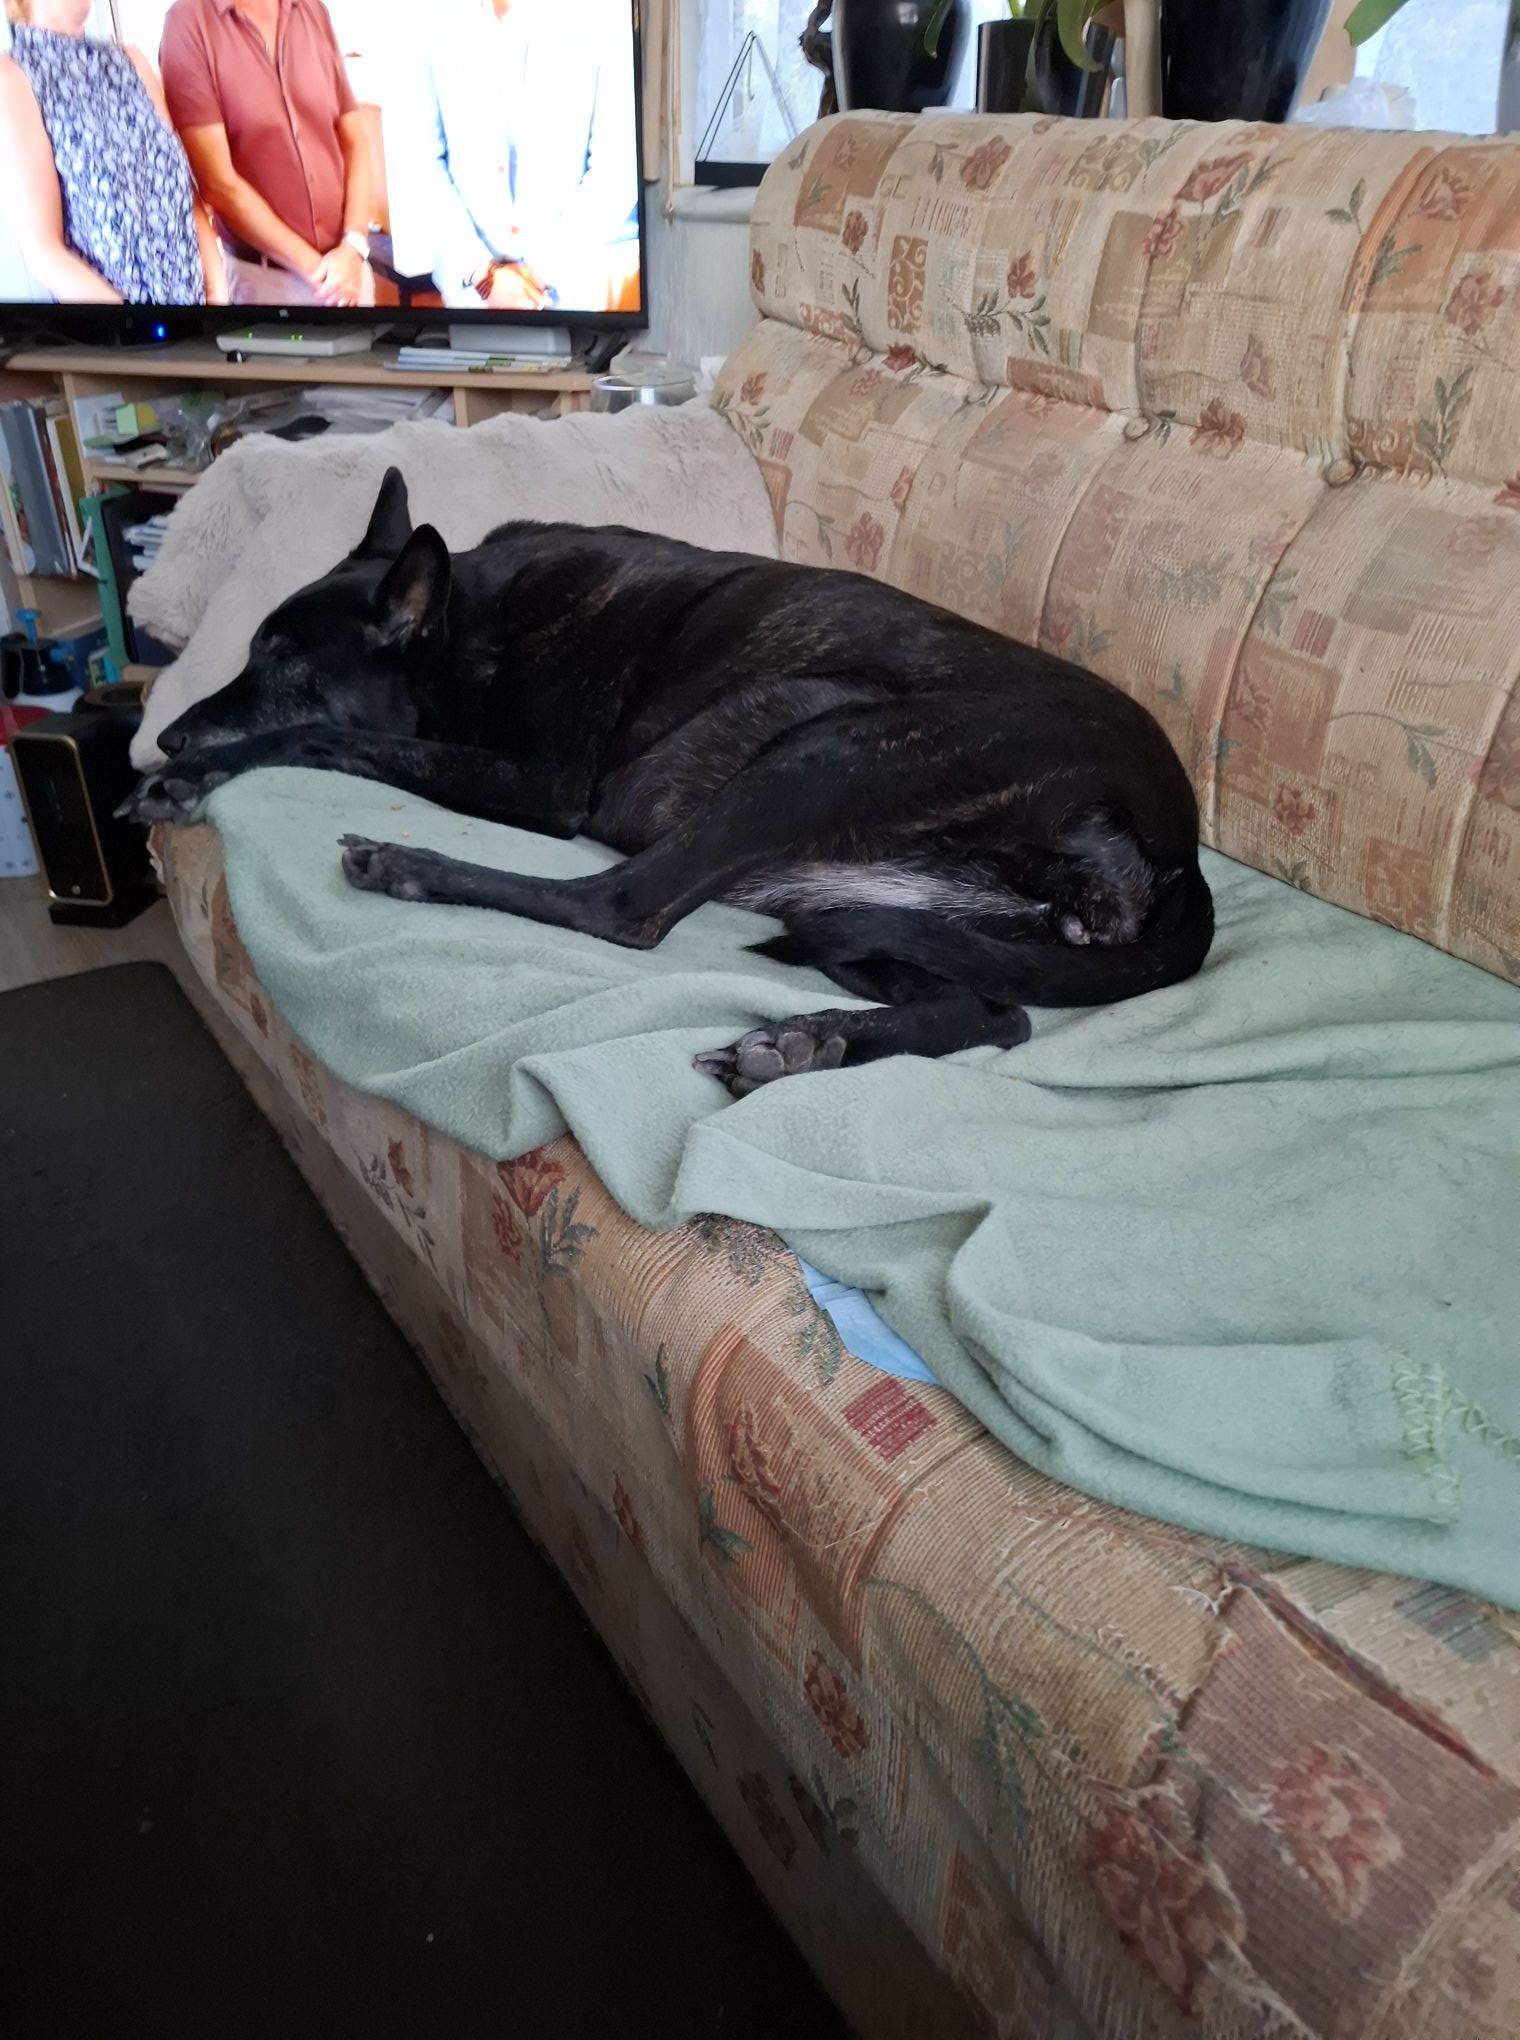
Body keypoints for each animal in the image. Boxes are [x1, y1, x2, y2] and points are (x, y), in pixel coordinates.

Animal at [131, 467, 1214, 1094]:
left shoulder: (546, 787)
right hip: (873, 912)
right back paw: (814, 1045)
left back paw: (411, 865)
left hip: (826, 756)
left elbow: (324, 737)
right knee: (996, 1011)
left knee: (621, 906)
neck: (473, 621)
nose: (167, 734)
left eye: (281, 662)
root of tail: (1176, 847)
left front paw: (198, 770)